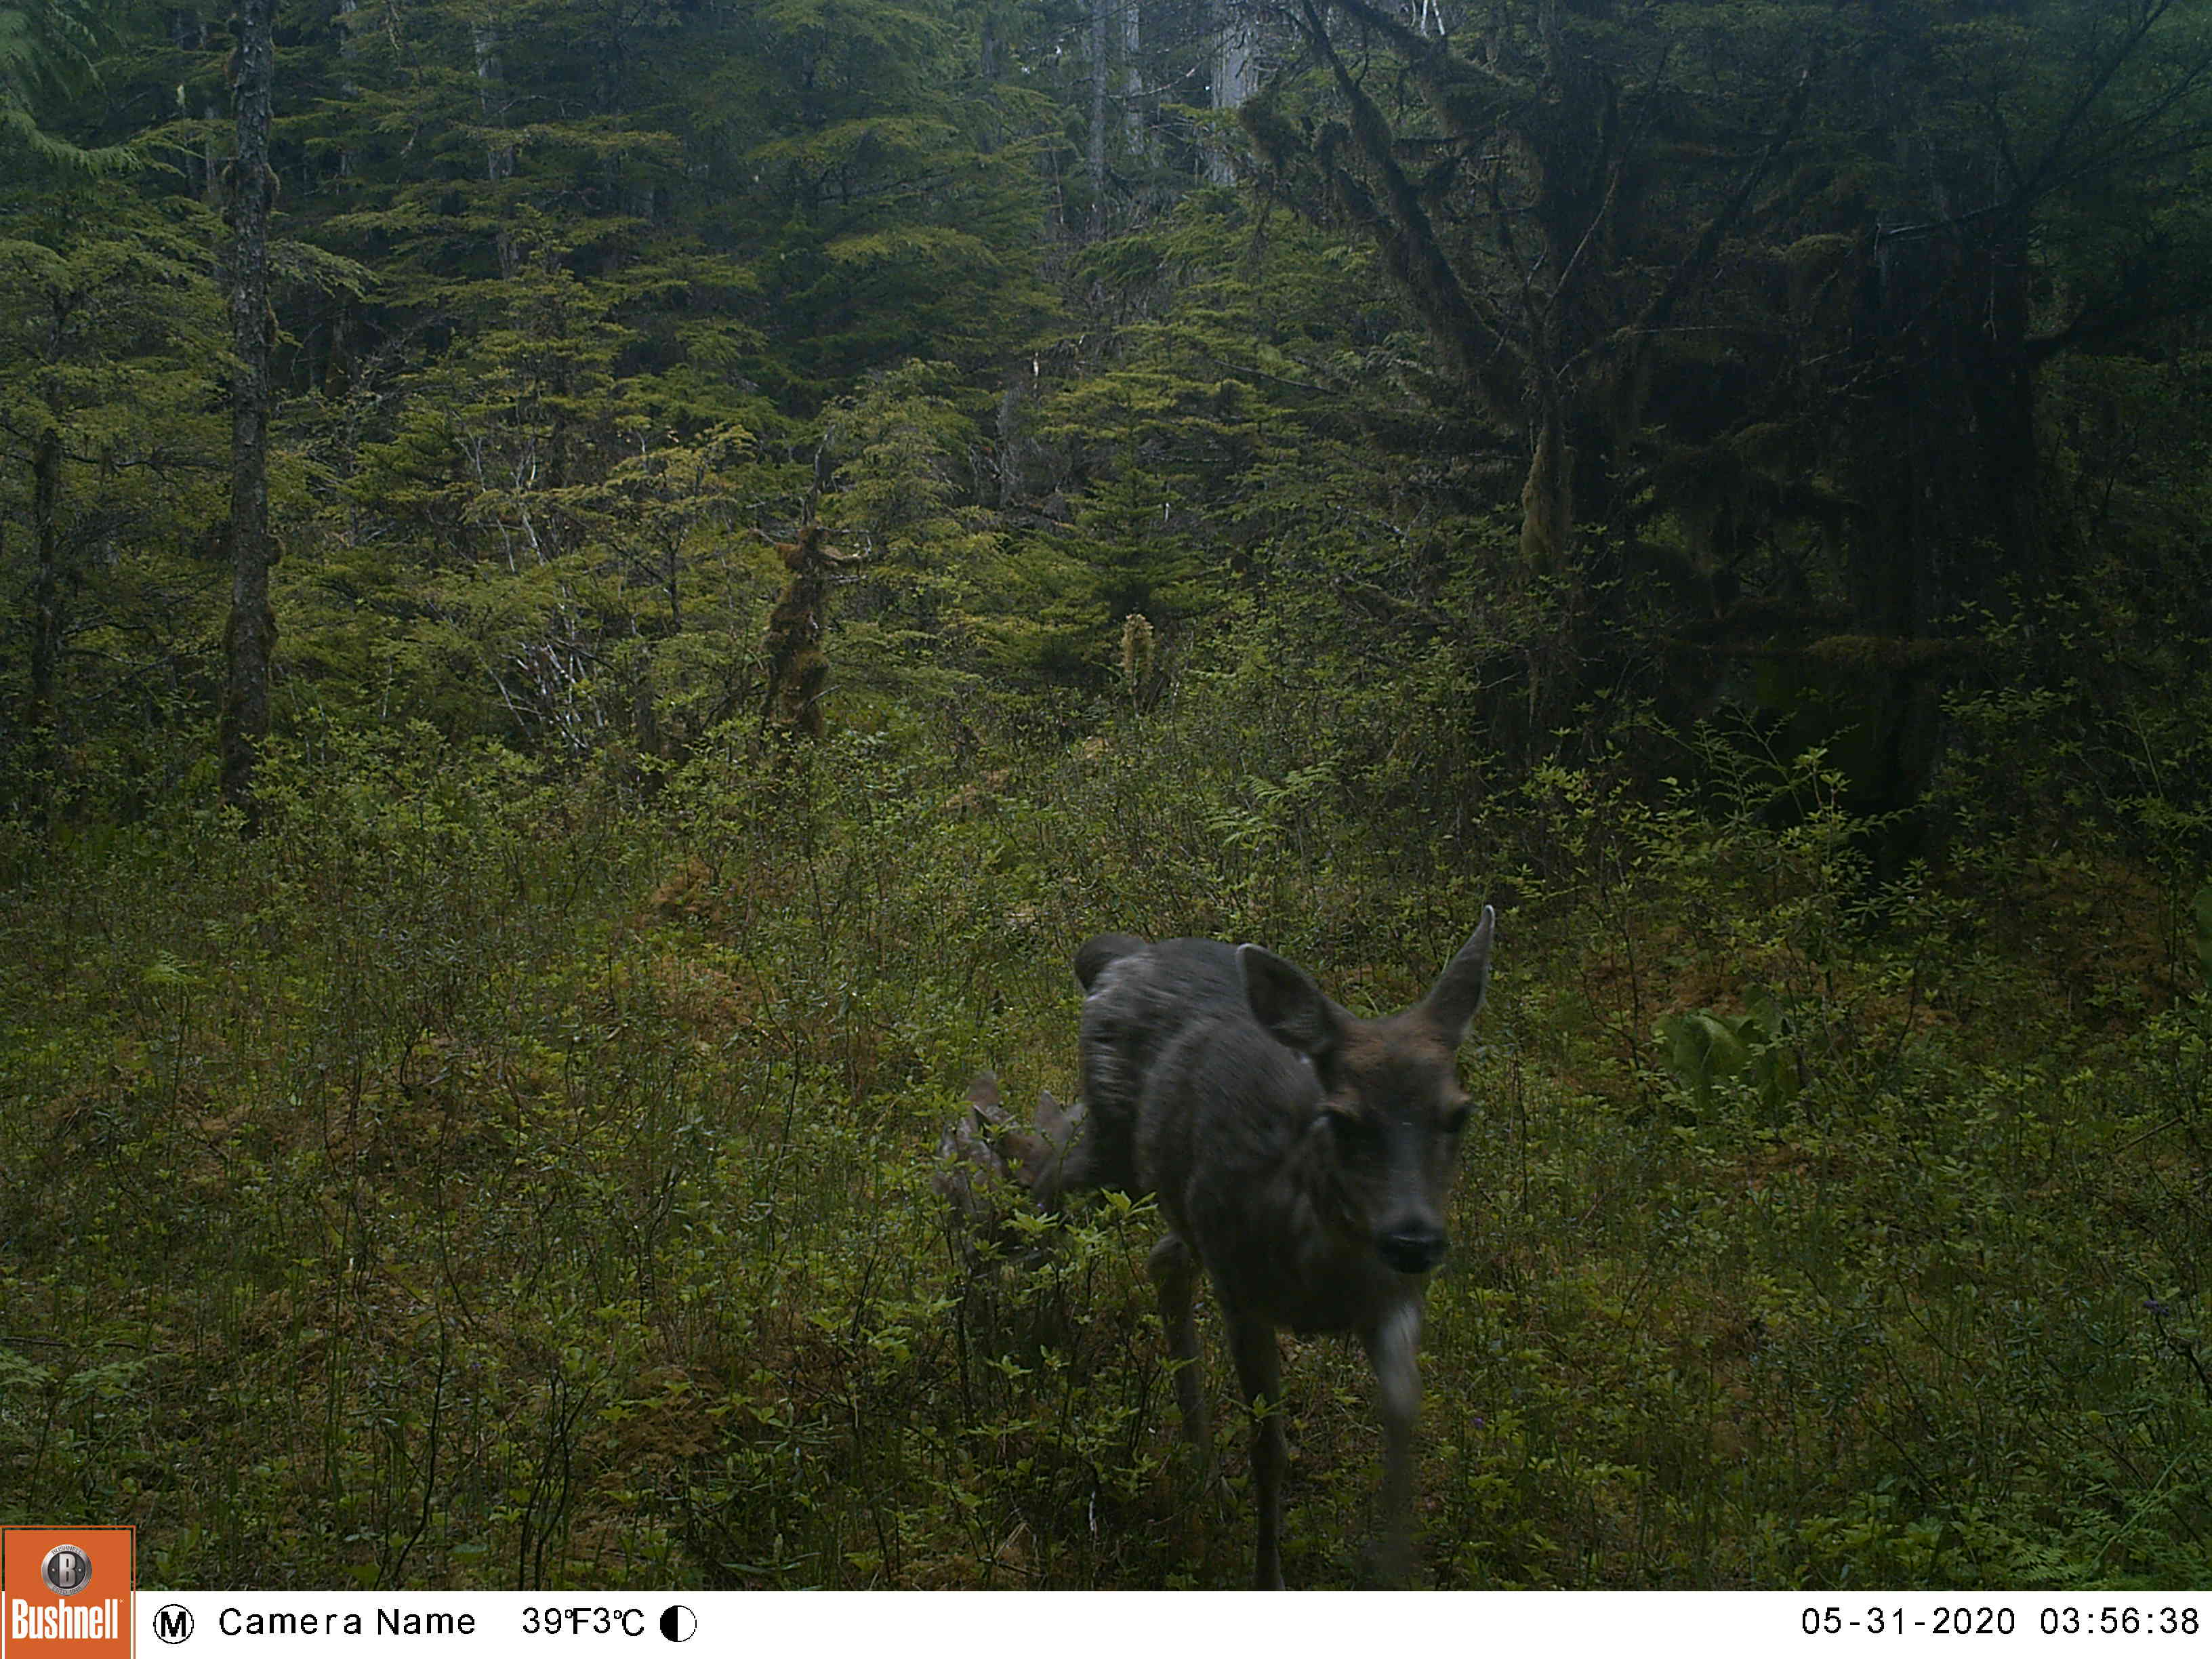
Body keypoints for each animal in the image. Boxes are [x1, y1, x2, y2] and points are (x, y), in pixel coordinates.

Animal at [1029, 909, 1497, 1589]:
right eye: (1342, 1117)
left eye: (1459, 1114)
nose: (1413, 1240)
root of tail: (1119, 958)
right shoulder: (1242, 1293)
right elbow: (1268, 1448)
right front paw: (1267, 1574)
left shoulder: (1394, 1302)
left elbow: (1403, 1420)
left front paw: (1392, 1566)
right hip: (1118, 1146)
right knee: (1050, 1163)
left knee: (1161, 1257)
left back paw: (1205, 1474)